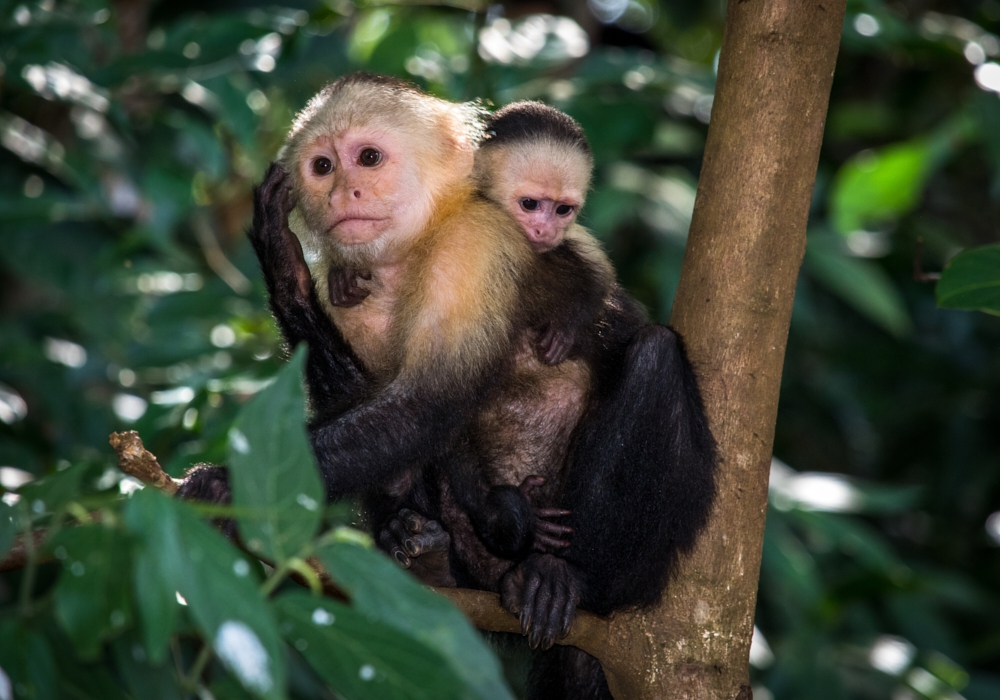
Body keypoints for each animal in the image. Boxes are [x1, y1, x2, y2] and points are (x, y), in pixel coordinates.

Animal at [176, 75, 716, 700]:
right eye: (321, 166)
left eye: (367, 158)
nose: (342, 193)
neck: (411, 251)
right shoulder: (350, 291)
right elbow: (384, 416)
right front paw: (284, 265)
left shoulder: (476, 247)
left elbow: (427, 405)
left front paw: (222, 483)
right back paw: (431, 561)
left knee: (654, 356)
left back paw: (569, 578)